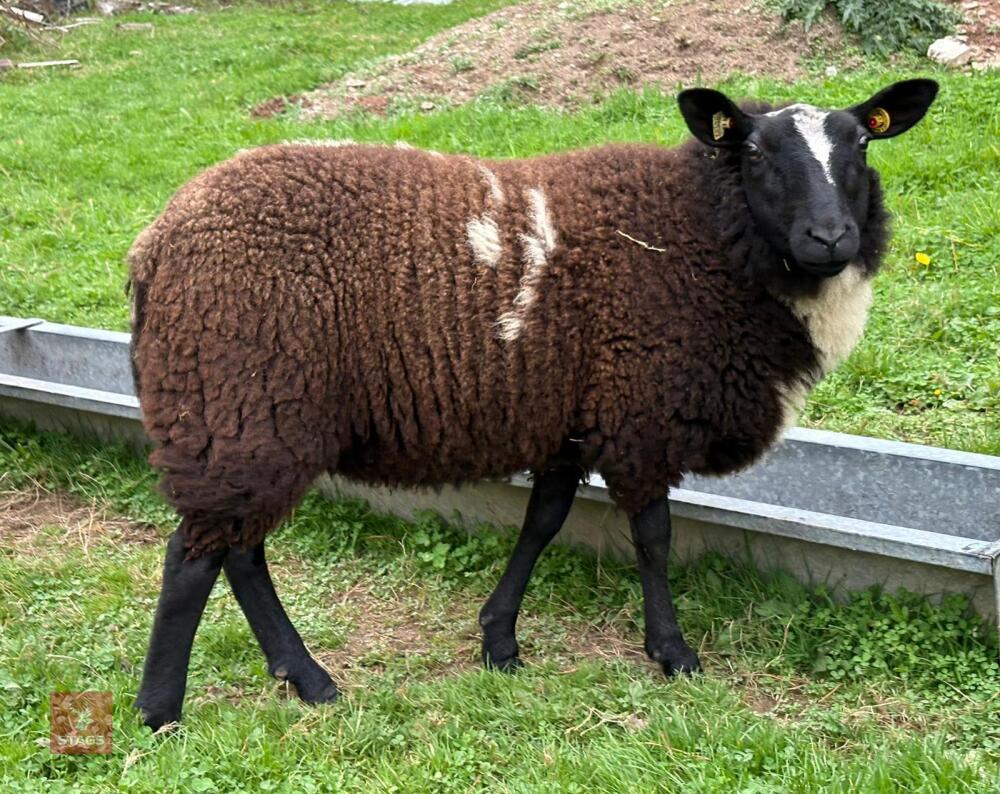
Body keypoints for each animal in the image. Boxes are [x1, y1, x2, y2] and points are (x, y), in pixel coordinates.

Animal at [130, 79, 938, 730]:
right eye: (757, 153)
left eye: (863, 142)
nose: (830, 237)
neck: (706, 235)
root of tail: (155, 243)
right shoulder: (641, 414)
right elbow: (654, 538)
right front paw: (672, 653)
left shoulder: (571, 418)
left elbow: (542, 522)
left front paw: (500, 640)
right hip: (238, 401)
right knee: (193, 559)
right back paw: (162, 712)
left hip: (247, 417)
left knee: (239, 552)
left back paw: (307, 680)